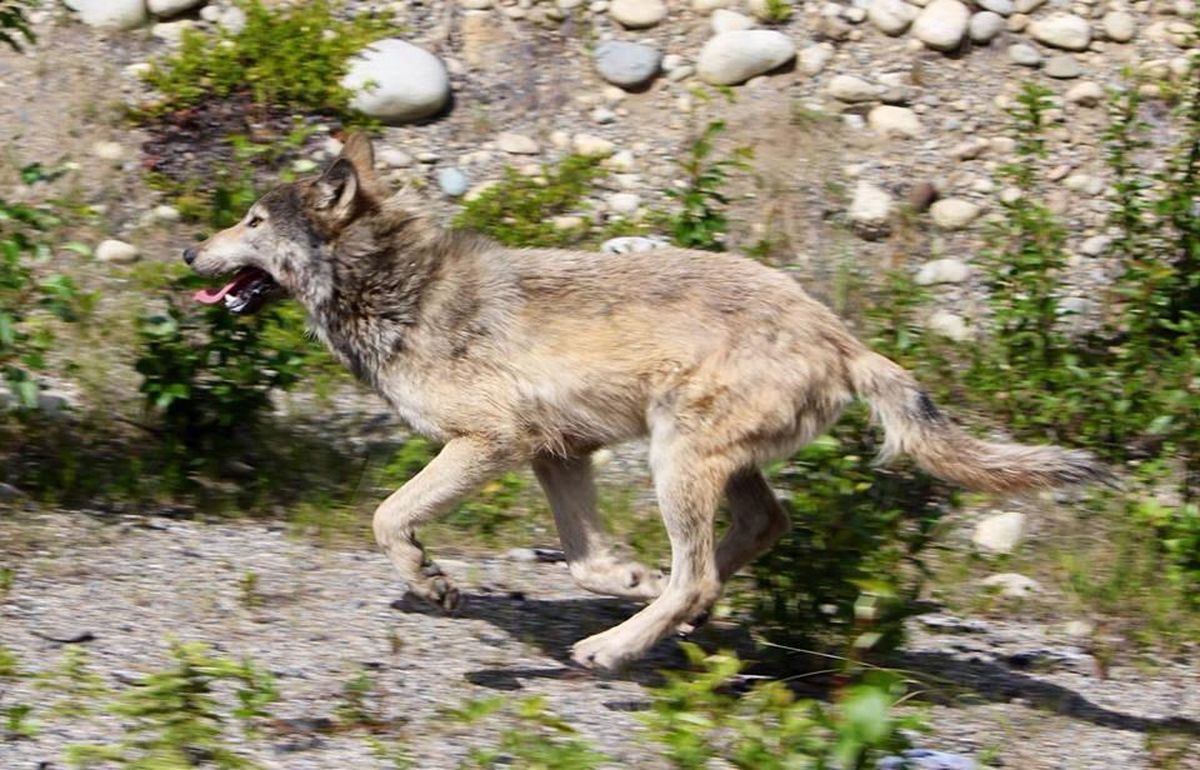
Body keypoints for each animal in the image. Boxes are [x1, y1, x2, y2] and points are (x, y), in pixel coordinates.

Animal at [182, 134, 1108, 666]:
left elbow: (387, 519)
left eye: (253, 220)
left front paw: (436, 585)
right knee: (750, 537)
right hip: (703, 465)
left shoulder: (491, 443)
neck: (392, 285)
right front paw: (624, 575)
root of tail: (842, 336)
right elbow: (586, 557)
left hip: (677, 459)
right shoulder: (557, 455)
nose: (190, 250)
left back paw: (612, 648)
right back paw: (665, 612)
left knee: (698, 576)